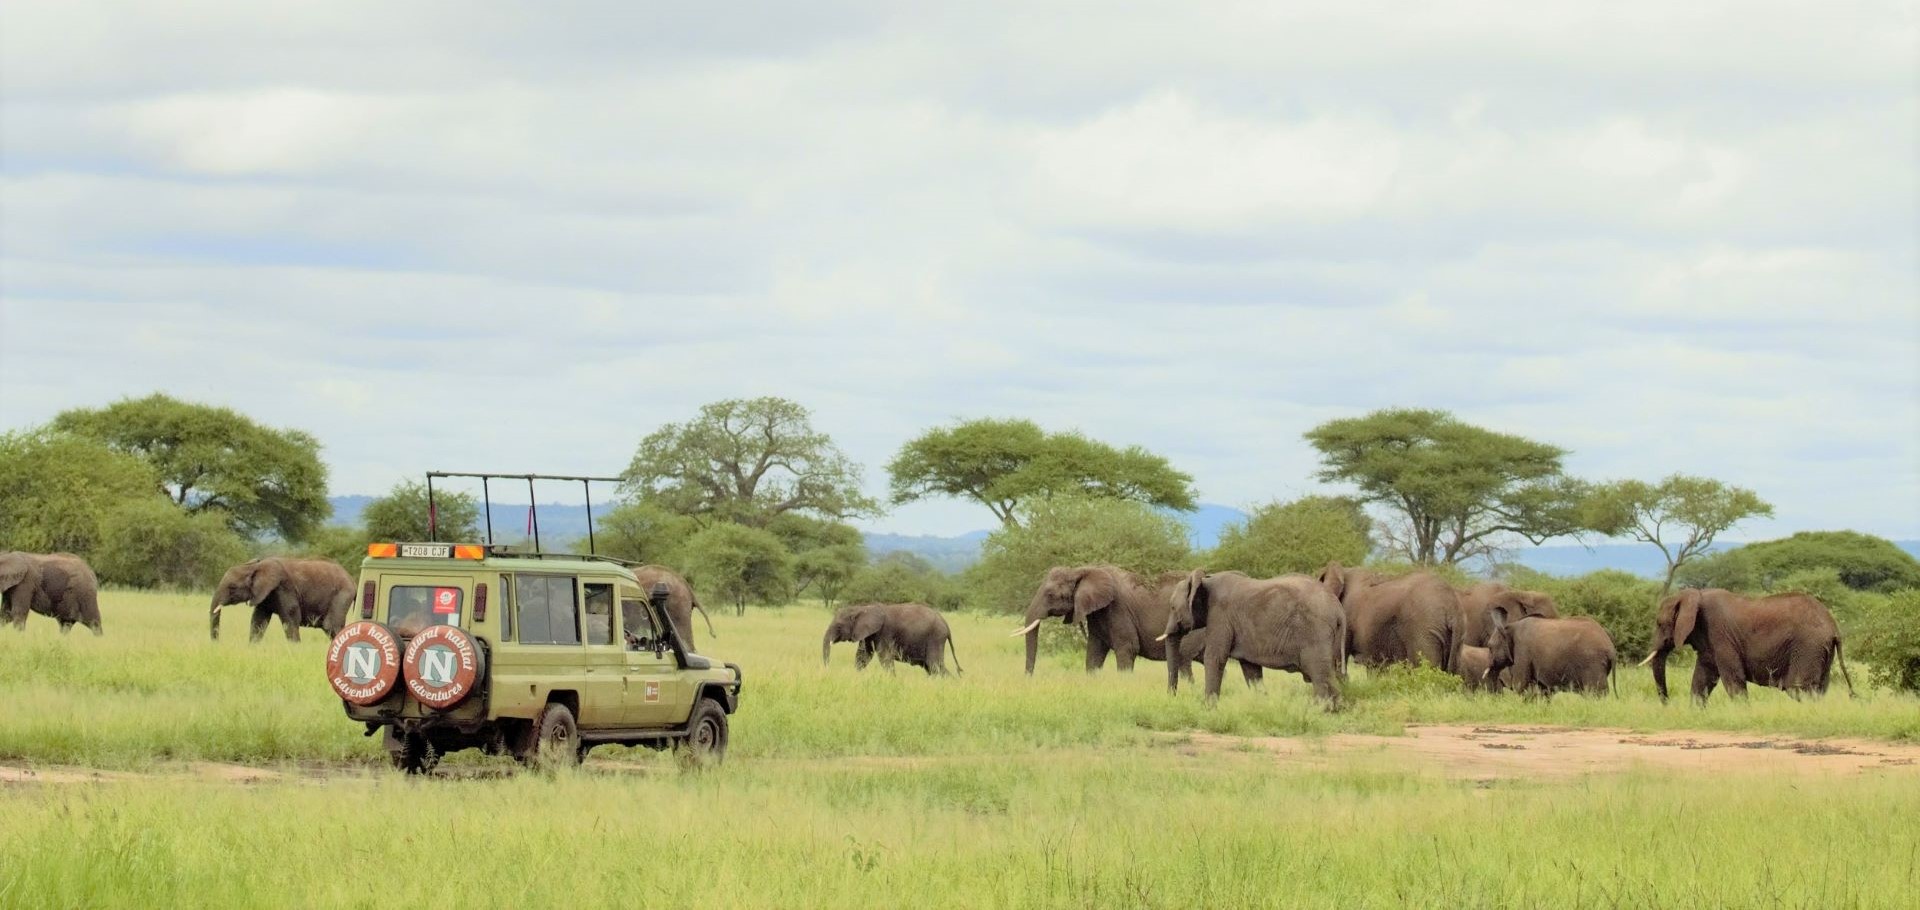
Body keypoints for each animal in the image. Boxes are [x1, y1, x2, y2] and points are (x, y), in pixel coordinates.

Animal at [209, 557, 355, 643]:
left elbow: (290, 619)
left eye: (232, 587)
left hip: (342, 595)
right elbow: (258, 620)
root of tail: (352, 579)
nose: (216, 644)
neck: (254, 566)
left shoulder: (284, 588)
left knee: (330, 626)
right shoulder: (265, 594)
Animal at [822, 602, 962, 676]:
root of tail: (946, 625)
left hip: (935, 637)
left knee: (934, 665)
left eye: (839, 626)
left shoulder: (884, 633)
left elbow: (885, 657)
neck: (862, 608)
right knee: (932, 667)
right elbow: (863, 656)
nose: (827, 668)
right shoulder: (868, 634)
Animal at [1160, 570, 1346, 706]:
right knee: (1330, 674)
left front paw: (1208, 708)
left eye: (1172, 607)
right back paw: (1337, 710)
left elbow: (1214, 657)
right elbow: (1251, 669)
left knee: (1320, 674)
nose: (1172, 697)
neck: (1206, 580)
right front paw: (1262, 705)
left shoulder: (1220, 617)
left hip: (1315, 633)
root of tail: (1338, 607)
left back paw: (1321, 711)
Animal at [1485, 608, 1616, 698]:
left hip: (1593, 663)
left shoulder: (1522, 652)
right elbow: (1543, 688)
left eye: (1490, 647)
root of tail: (1611, 647)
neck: (1509, 626)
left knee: (1595, 692)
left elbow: (1520, 685)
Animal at [1641, 588, 1854, 704]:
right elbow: (1702, 679)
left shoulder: (1721, 636)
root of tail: (1834, 627)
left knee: (1798, 689)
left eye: (1659, 624)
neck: (1695, 594)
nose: (1667, 704)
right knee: (1819, 689)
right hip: (1821, 651)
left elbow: (1733, 680)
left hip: (1808, 647)